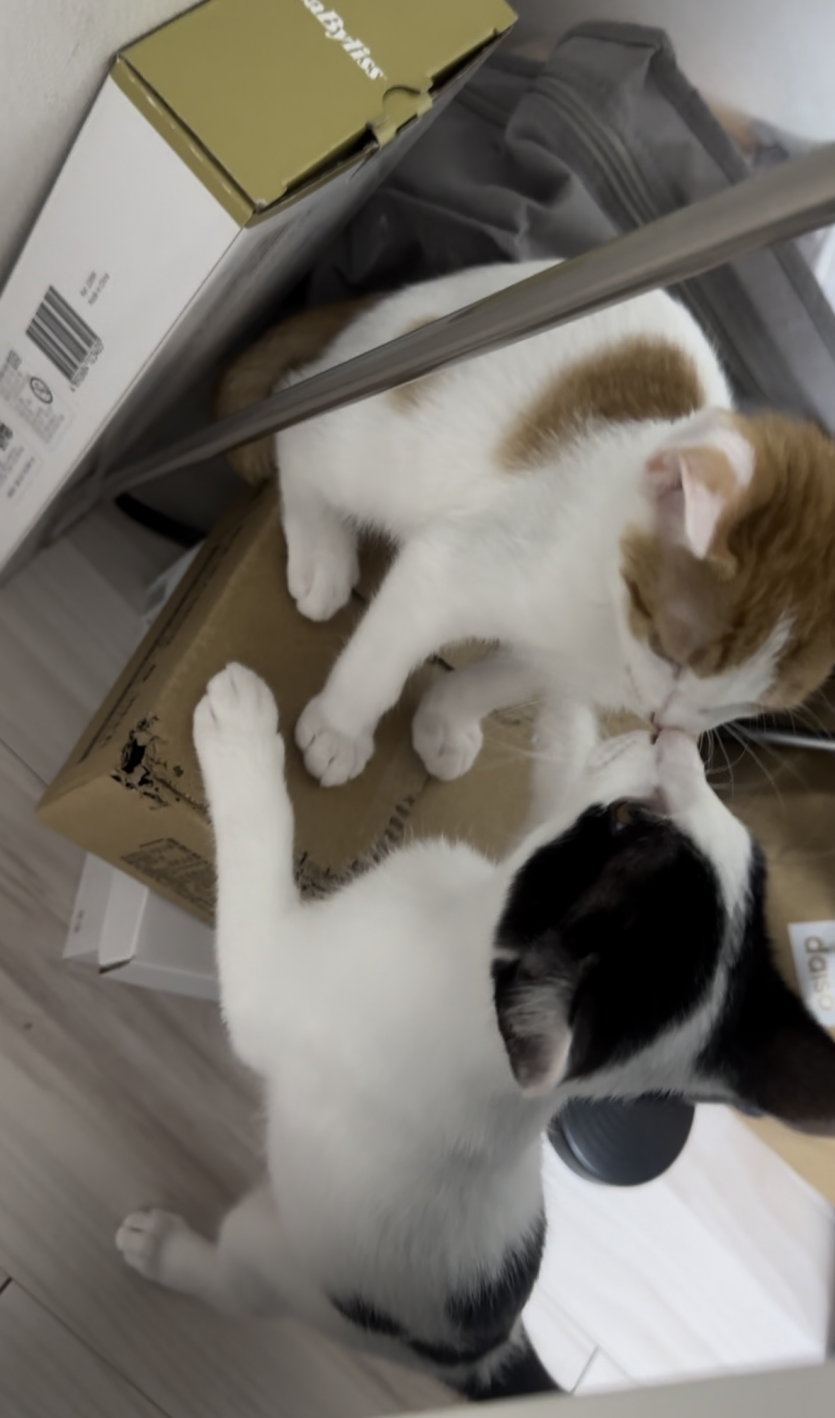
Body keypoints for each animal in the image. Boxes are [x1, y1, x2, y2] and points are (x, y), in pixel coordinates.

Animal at [116, 663, 835, 1403]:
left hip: (277, 1261)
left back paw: (163, 1250)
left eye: (627, 818)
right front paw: (567, 689)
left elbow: (260, 852)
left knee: (236, 1285)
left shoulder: (275, 988)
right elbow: (557, 780)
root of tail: (481, 1349)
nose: (677, 738)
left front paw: (239, 733)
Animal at [217, 260, 835, 789]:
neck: (603, 629)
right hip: (381, 445)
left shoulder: (562, 663)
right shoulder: (452, 568)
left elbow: (501, 679)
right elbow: (384, 655)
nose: (662, 721)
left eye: (746, 704)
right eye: (667, 650)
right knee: (297, 420)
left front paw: (447, 719)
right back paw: (322, 551)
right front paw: (340, 729)